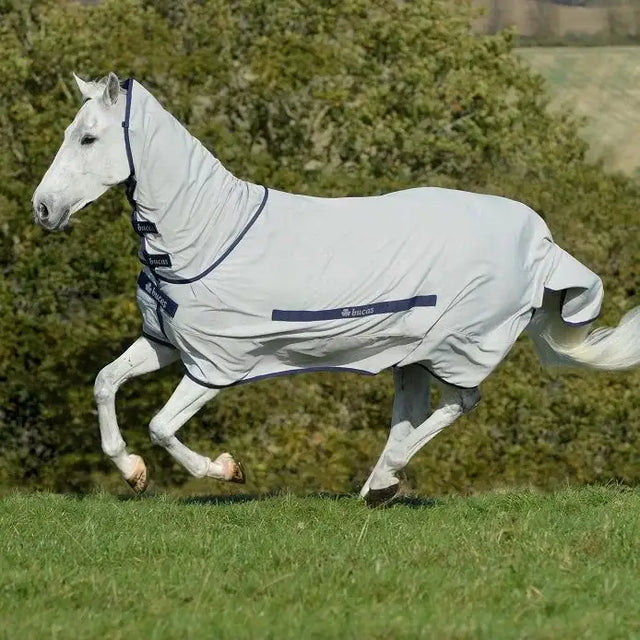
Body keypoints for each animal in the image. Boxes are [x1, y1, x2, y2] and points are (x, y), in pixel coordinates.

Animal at [32, 73, 640, 506]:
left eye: (88, 138)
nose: (42, 209)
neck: (205, 235)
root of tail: (542, 242)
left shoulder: (218, 362)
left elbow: (160, 425)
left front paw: (227, 470)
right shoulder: (165, 341)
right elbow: (105, 383)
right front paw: (132, 473)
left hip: (458, 344)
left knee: (461, 402)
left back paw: (384, 481)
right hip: (412, 354)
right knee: (413, 413)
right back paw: (378, 486)